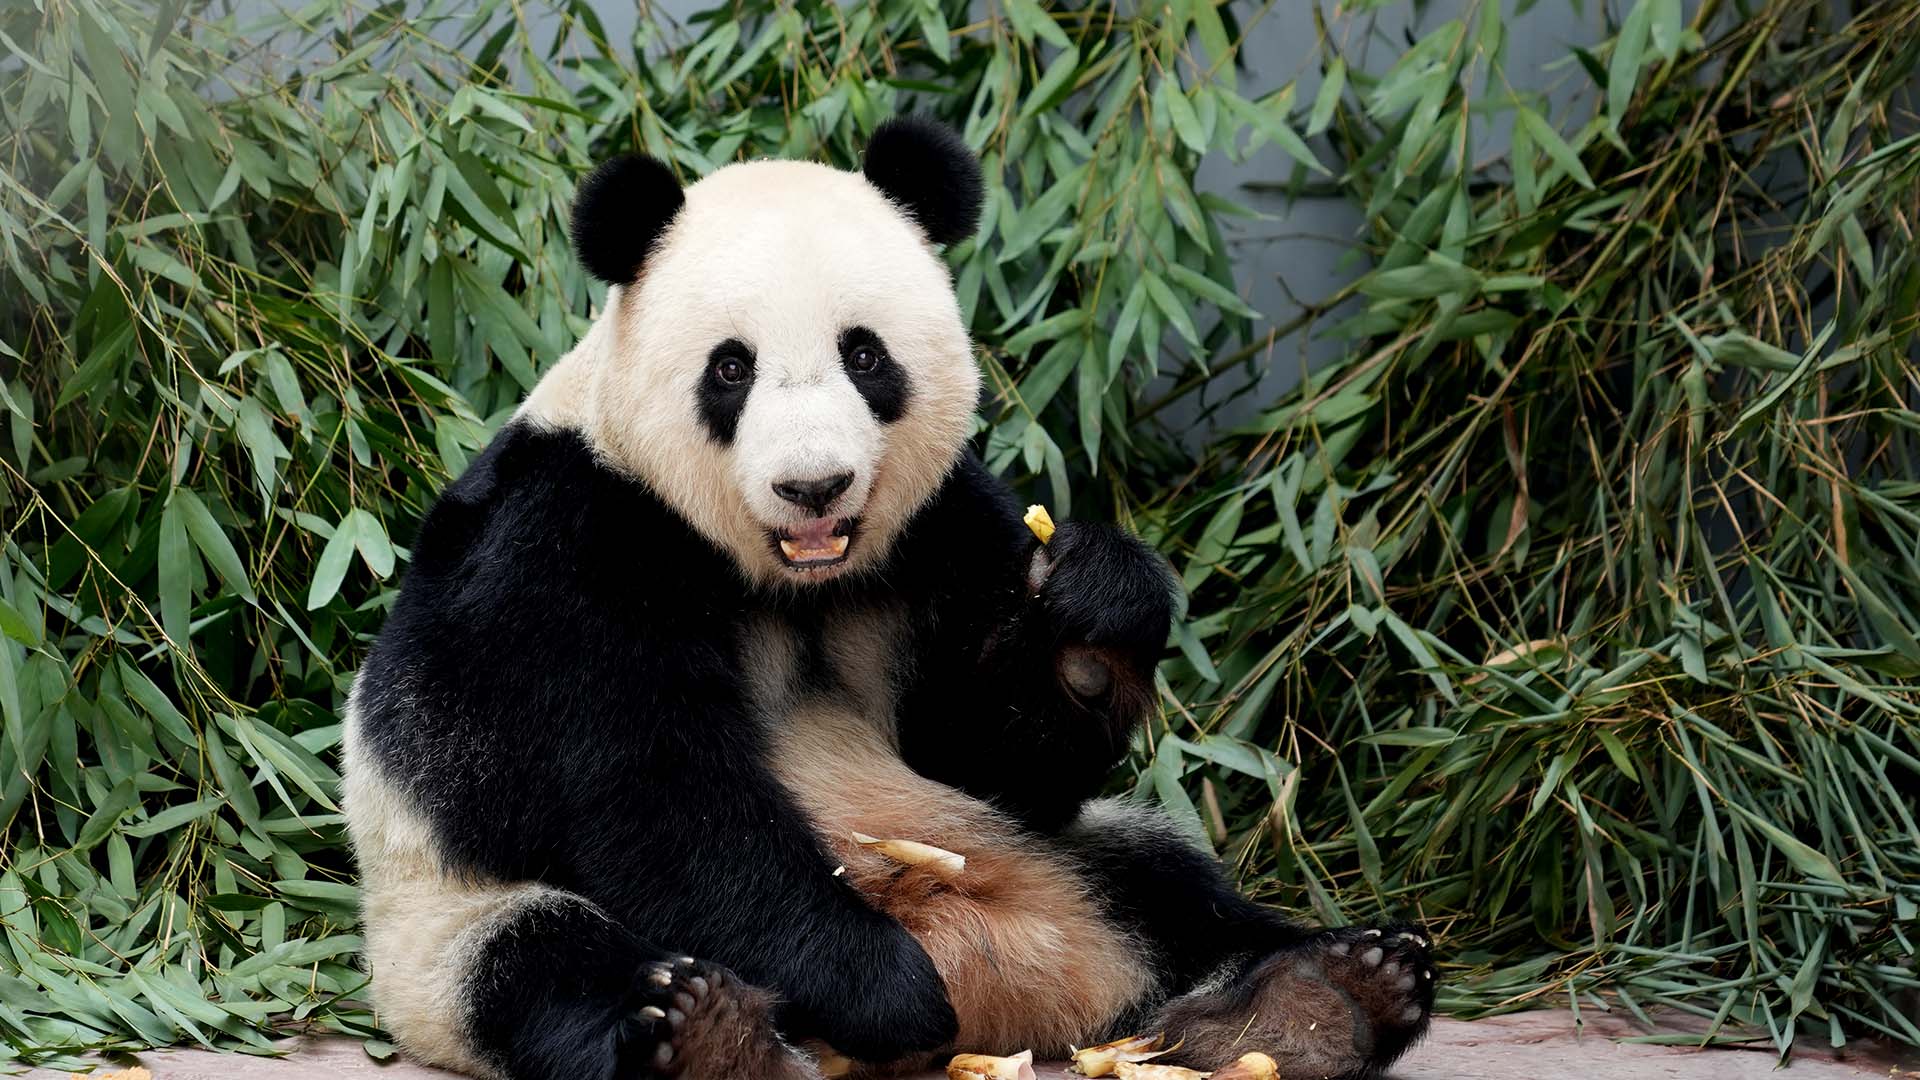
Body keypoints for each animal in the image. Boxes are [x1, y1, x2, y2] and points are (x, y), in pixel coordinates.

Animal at [341, 117, 1434, 1080]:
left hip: (1069, 855)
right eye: (730, 368)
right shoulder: (568, 539)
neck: (791, 577)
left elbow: (983, 751)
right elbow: (647, 790)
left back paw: (1324, 994)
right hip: (432, 931)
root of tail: (1015, 1001)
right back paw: (707, 1033)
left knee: (1169, 885)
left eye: (864, 355)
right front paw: (879, 987)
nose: (813, 486)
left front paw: (1090, 621)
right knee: (545, 963)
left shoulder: (948, 528)